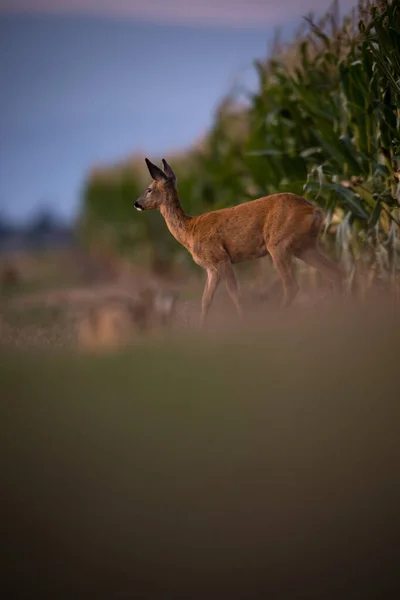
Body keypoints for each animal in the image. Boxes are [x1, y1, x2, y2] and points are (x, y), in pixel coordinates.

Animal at [134, 158, 340, 328]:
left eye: (149, 189)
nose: (136, 203)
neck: (190, 231)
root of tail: (314, 210)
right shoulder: (211, 268)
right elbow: (205, 300)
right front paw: (201, 329)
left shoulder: (220, 258)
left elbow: (235, 294)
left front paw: (243, 324)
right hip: (305, 245)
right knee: (335, 272)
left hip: (278, 243)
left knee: (292, 285)